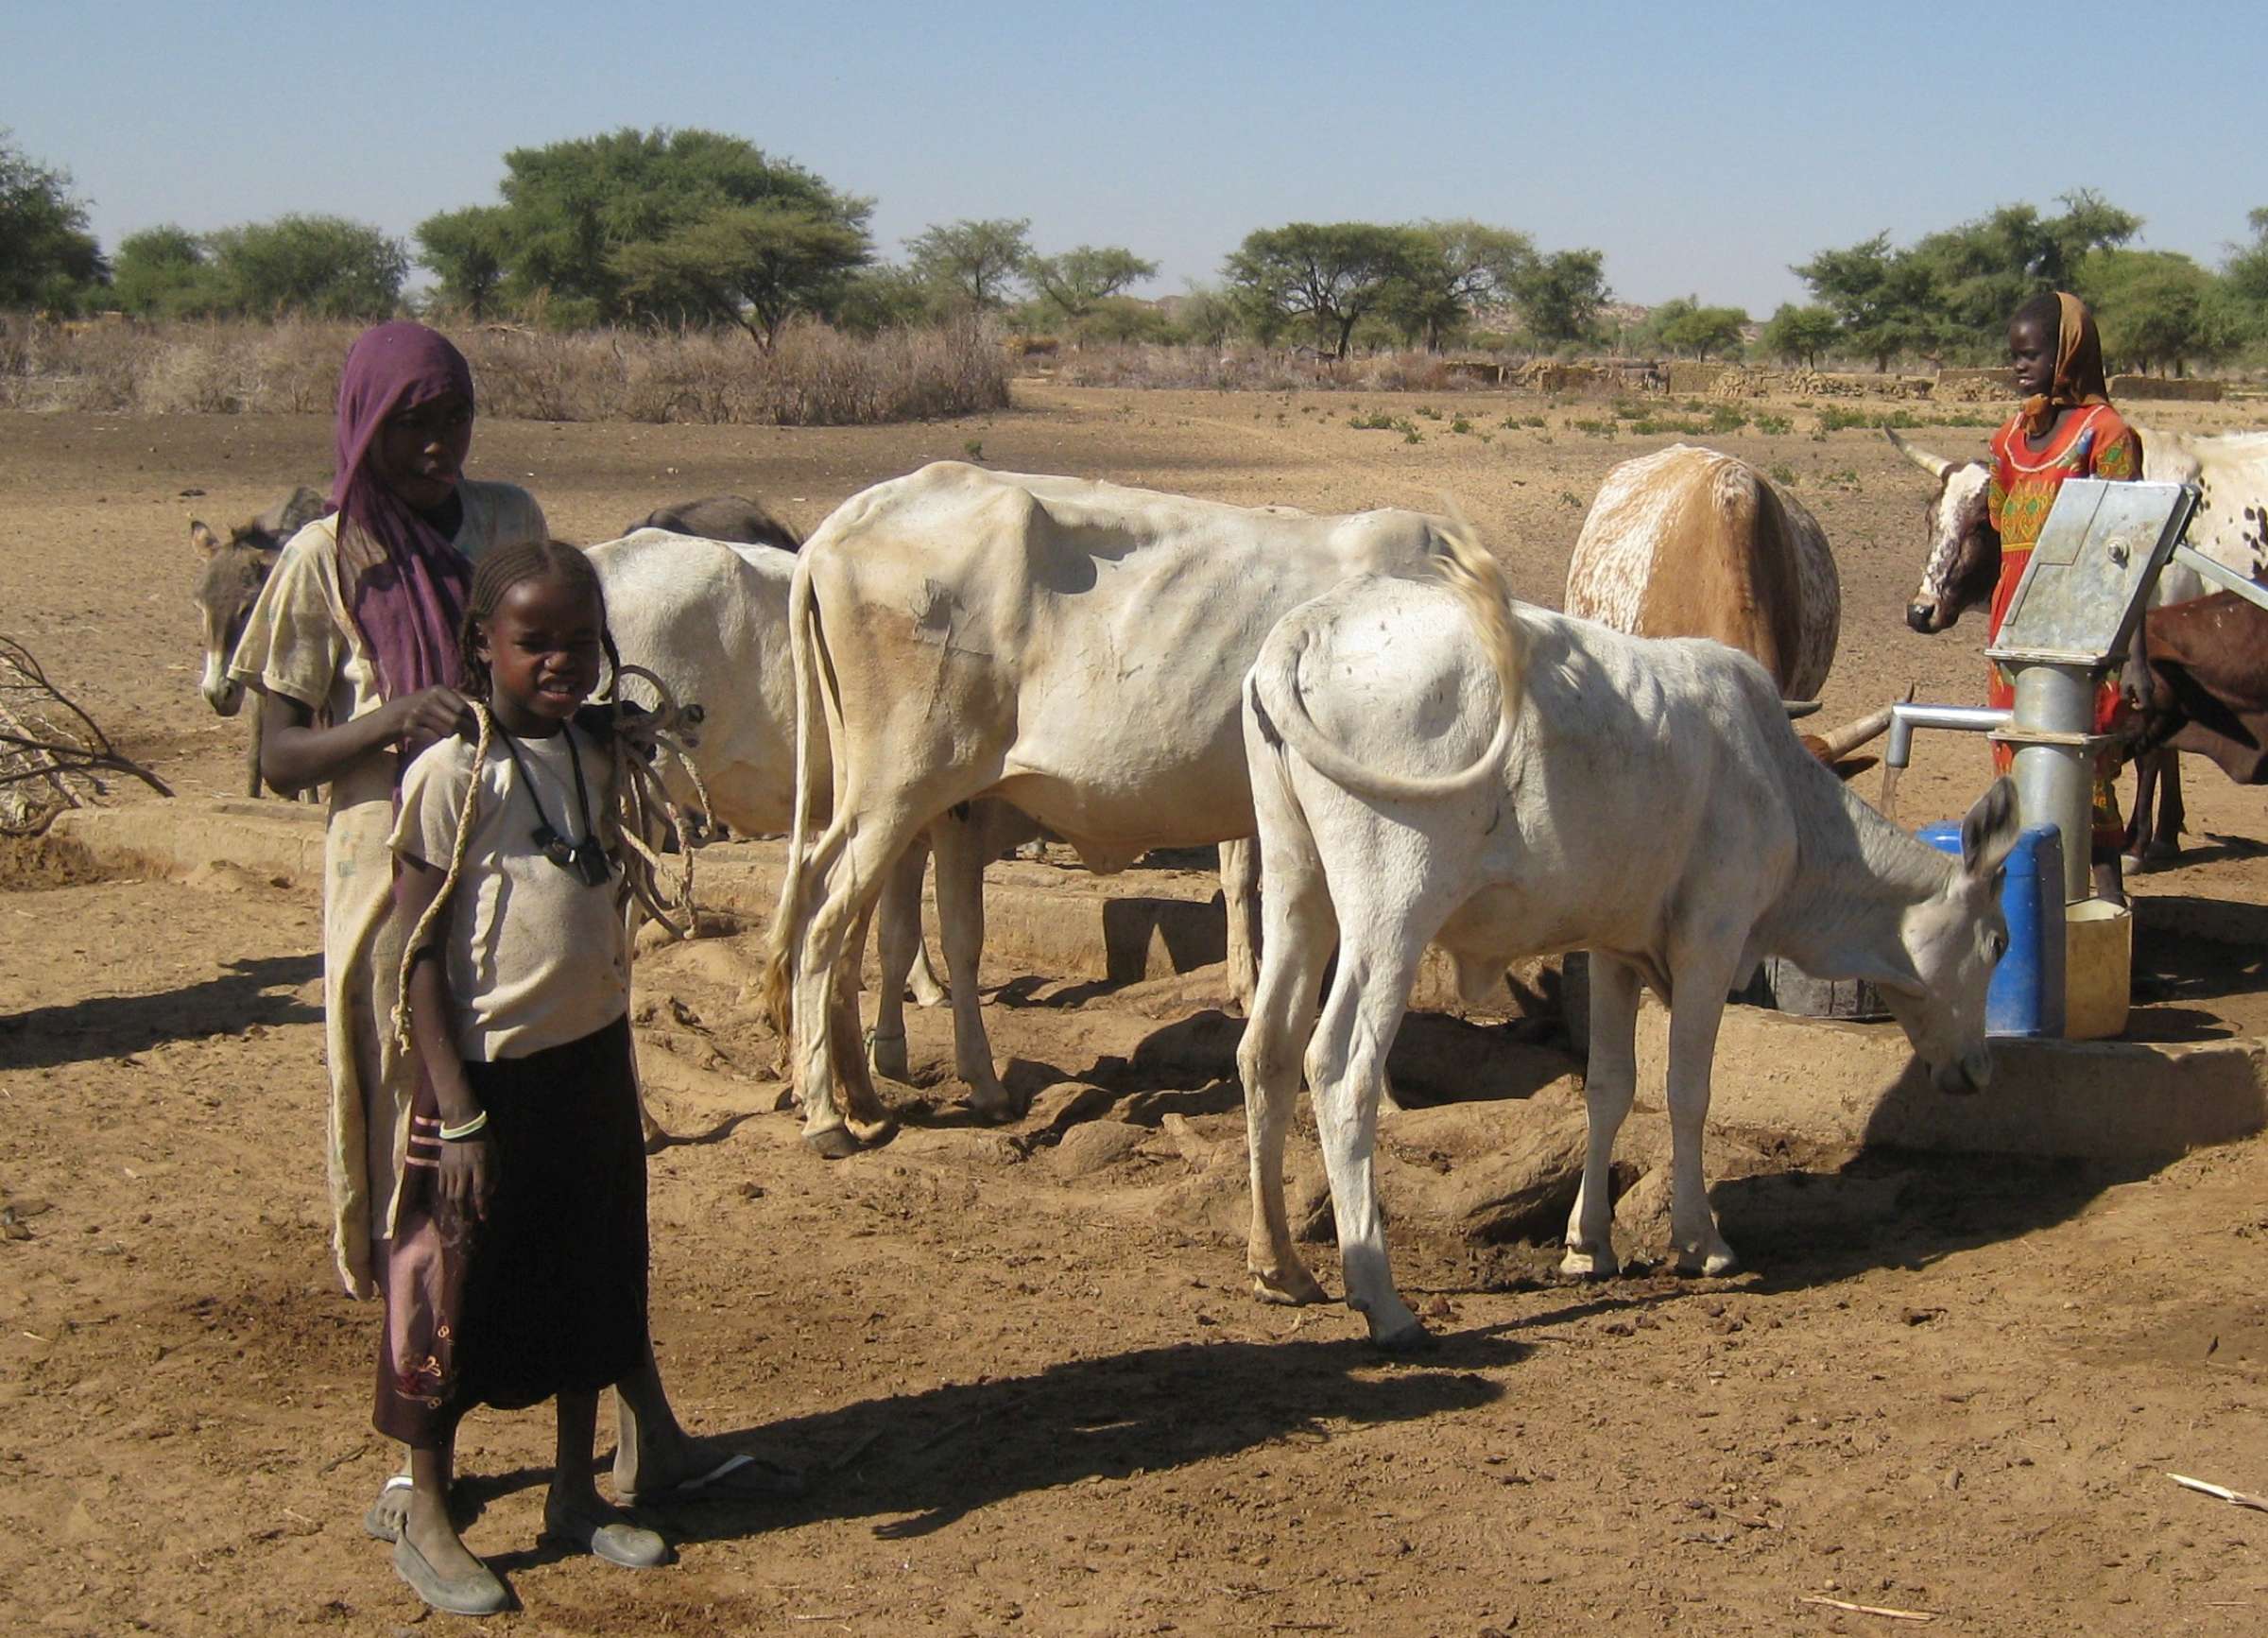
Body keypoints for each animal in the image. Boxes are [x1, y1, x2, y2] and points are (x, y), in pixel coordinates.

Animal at [761, 463, 1464, 1158]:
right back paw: (828, 1115)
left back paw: (879, 1094)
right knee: (822, 918)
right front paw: (1385, 1095)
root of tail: (836, 531)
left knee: (844, 915)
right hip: (899, 787)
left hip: (891, 794)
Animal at [1235, 520, 2020, 1348]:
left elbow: (1609, 1086)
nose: (1977, 1069)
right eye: (1998, 942)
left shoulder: (1614, 948)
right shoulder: (1712, 937)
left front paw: (1590, 1244)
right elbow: (1687, 1088)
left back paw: (1280, 1266)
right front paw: (1701, 1240)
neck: (1785, 794)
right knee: (1340, 1066)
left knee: (1268, 1048)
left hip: (1296, 881)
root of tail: (1309, 627)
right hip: (1393, 907)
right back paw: (1382, 1300)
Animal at [1887, 425, 2268, 866]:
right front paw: (2164, 834)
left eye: (1982, 524)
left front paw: (2137, 843)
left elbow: (2153, 751)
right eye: (1931, 519)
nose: (1921, 611)